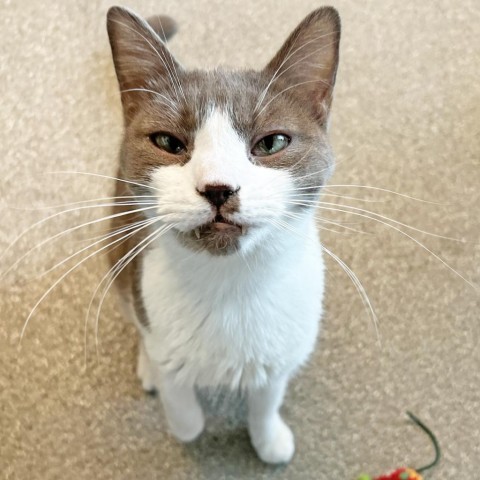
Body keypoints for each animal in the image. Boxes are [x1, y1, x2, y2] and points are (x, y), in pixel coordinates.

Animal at [107, 4, 340, 464]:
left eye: (272, 143)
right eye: (167, 142)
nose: (217, 188)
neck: (230, 287)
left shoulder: (281, 350)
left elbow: (266, 398)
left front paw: (268, 440)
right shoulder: (151, 296)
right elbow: (183, 408)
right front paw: (184, 413)